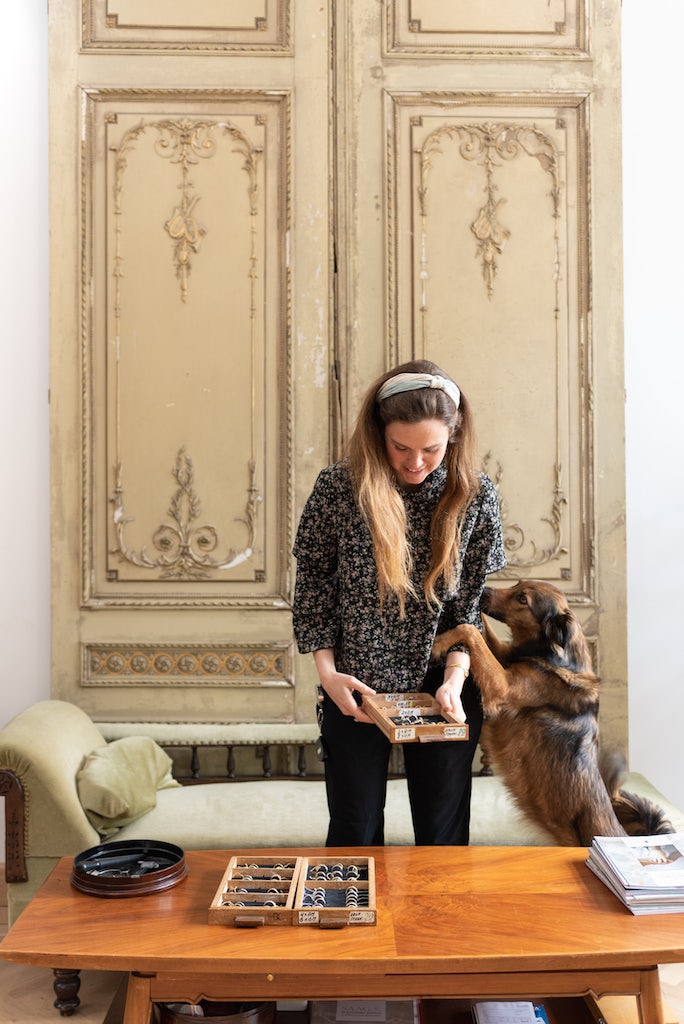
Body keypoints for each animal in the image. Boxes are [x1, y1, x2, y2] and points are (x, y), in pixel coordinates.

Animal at [430, 581, 671, 843]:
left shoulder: (502, 686)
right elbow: (482, 632)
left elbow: (471, 631)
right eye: (516, 584)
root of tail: (625, 834)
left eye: (522, 599)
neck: (553, 656)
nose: (483, 590)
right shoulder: (504, 657)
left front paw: (439, 643)